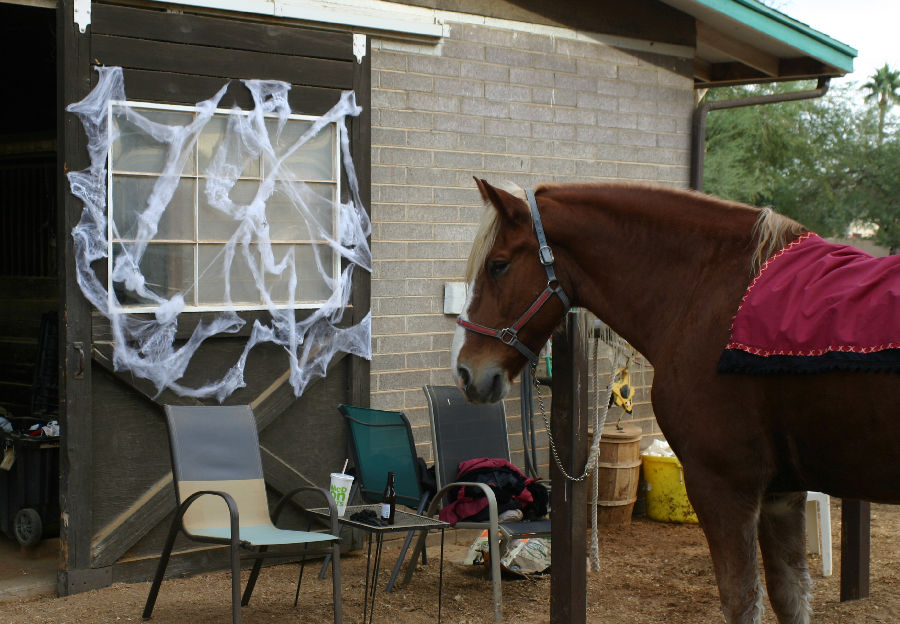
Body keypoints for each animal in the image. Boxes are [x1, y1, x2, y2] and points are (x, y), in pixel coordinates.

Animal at [451, 179, 900, 624]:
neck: (712, 295)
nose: (465, 372)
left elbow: (742, 600)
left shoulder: (724, 486)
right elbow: (790, 595)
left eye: (498, 265)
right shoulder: (782, 492)